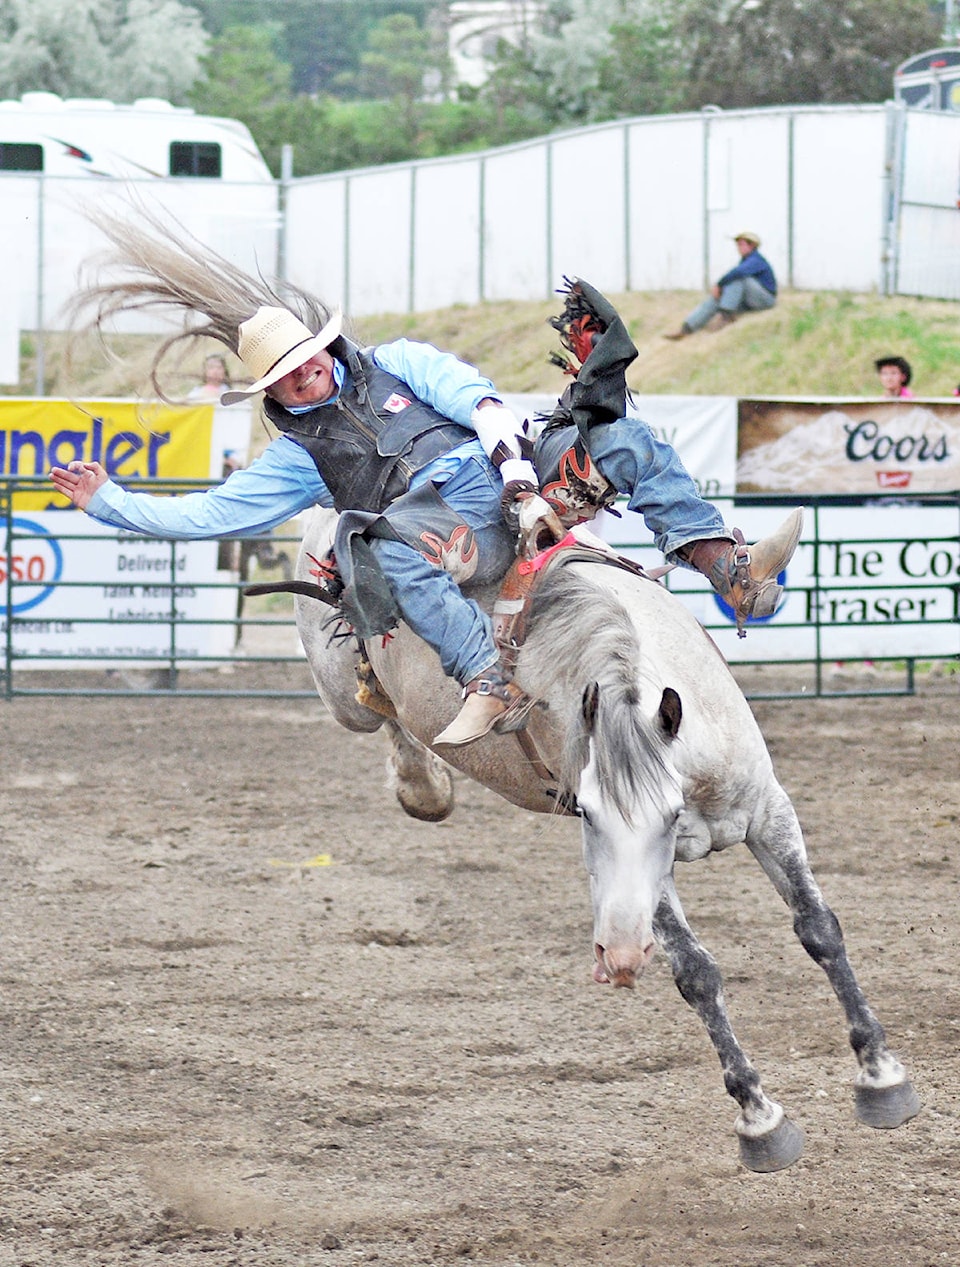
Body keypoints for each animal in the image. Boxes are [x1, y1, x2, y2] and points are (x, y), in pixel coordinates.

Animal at [297, 506, 922, 1175]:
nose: (618, 957)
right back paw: (420, 781)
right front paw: (760, 1118)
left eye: (672, 814)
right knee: (376, 710)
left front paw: (881, 1076)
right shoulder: (652, 876)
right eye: (588, 815)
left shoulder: (768, 811)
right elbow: (696, 973)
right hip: (342, 696)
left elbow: (819, 928)